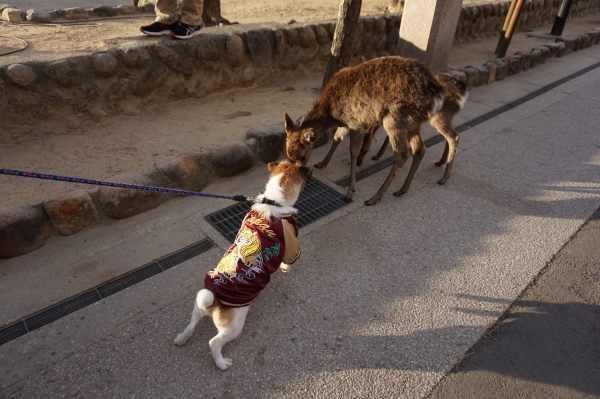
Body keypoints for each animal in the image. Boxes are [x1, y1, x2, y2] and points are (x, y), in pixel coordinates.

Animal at [173, 161, 312, 370]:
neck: (273, 202)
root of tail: (214, 300)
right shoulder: (291, 246)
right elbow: (288, 260)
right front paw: (286, 268)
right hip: (233, 327)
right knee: (214, 343)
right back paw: (221, 363)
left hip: (198, 307)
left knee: (191, 325)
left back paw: (181, 339)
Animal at [284, 57, 466, 206]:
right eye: (289, 156)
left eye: (302, 156)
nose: (295, 178)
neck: (332, 113)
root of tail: (437, 95)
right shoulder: (345, 123)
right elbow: (336, 138)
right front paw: (322, 163)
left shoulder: (355, 122)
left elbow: (353, 152)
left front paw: (350, 192)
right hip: (413, 123)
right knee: (420, 149)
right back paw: (402, 189)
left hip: (395, 119)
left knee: (403, 153)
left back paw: (375, 197)